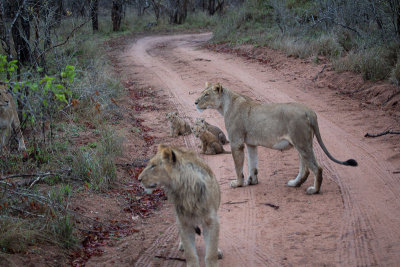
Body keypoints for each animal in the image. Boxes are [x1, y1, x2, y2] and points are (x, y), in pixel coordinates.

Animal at [194, 81, 356, 195]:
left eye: (206, 94)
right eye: (202, 93)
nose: (195, 102)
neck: (225, 105)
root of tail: (309, 111)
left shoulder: (236, 142)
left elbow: (238, 166)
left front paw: (238, 183)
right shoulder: (251, 144)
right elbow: (252, 164)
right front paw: (252, 181)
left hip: (301, 142)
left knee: (317, 168)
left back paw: (313, 190)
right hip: (302, 143)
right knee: (305, 169)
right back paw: (294, 183)